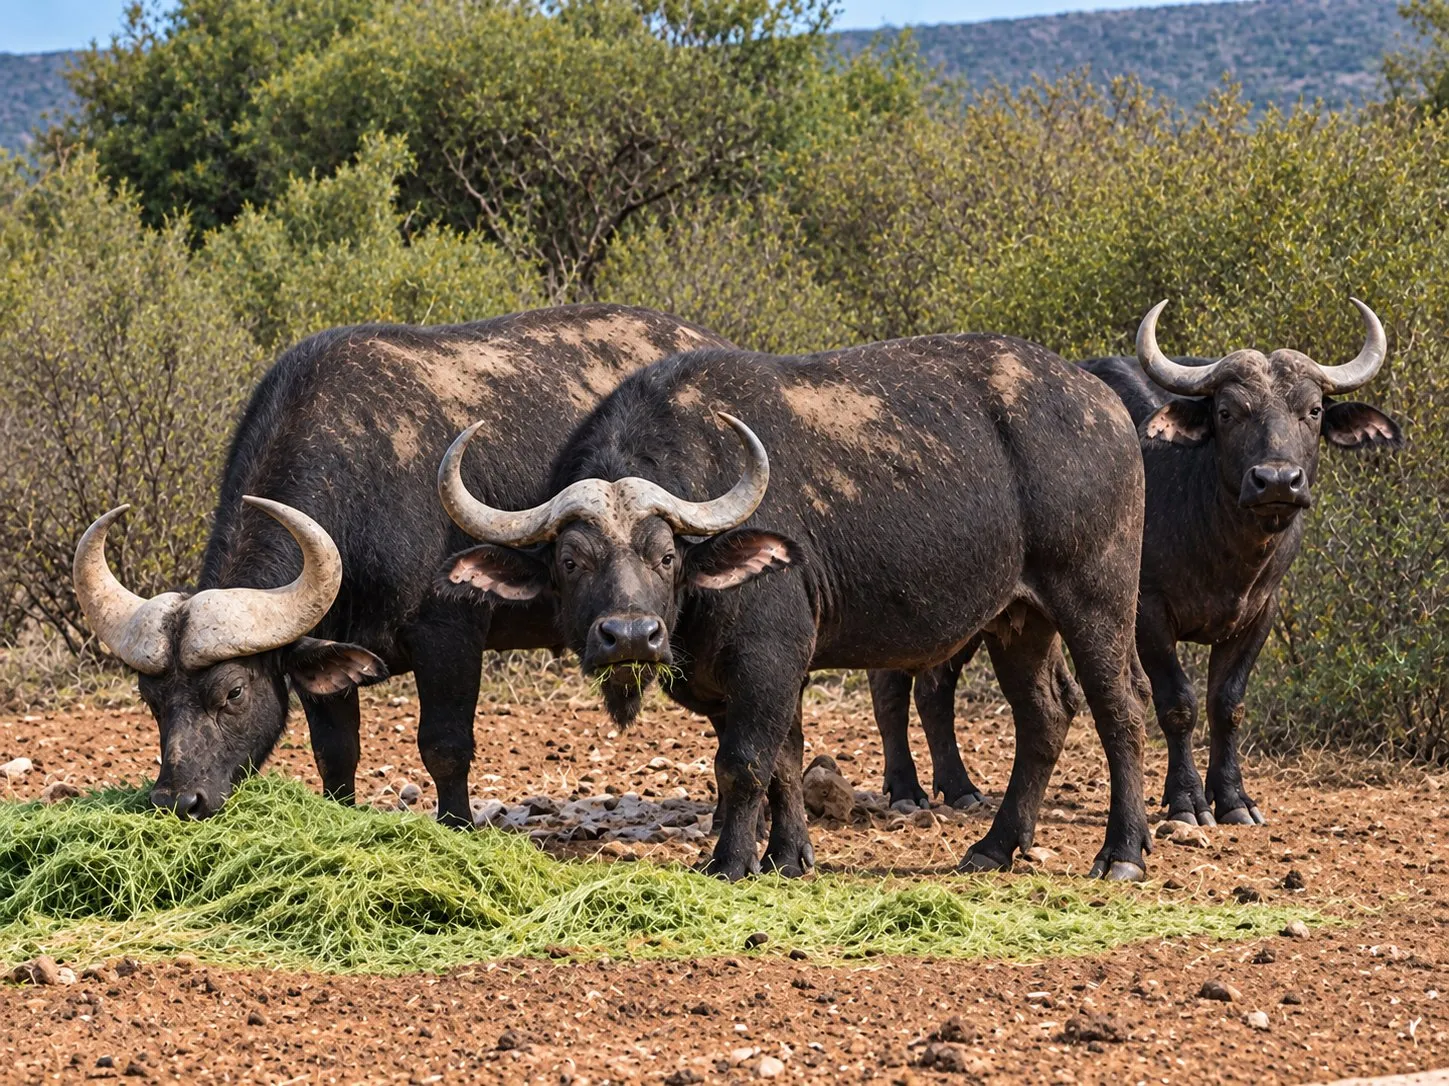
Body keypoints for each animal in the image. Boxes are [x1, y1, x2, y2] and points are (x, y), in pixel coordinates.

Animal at [73, 305, 726, 823]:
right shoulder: (325, 653)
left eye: (232, 692)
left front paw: (457, 827)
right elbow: (336, 753)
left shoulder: (450, 631)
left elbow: (445, 745)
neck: (359, 485)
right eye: (150, 698)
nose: (178, 800)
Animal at [439, 334, 1152, 880]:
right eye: (571, 561)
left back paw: (1122, 853)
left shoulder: (769, 656)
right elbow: (783, 760)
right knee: (1045, 715)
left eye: (665, 556)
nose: (632, 636)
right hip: (1018, 619)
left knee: (1120, 710)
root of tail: (1105, 406)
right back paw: (996, 848)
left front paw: (729, 863)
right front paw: (787, 857)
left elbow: (743, 762)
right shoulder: (750, 677)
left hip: (1098, 600)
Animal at [871, 300, 1402, 826]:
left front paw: (1234, 799)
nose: (1276, 480)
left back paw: (960, 788)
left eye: (1313, 410)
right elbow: (1177, 703)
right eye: (1227, 411)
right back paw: (906, 791)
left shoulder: (1259, 613)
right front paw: (1187, 800)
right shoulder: (1146, 612)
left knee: (935, 687)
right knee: (892, 683)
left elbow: (1227, 704)